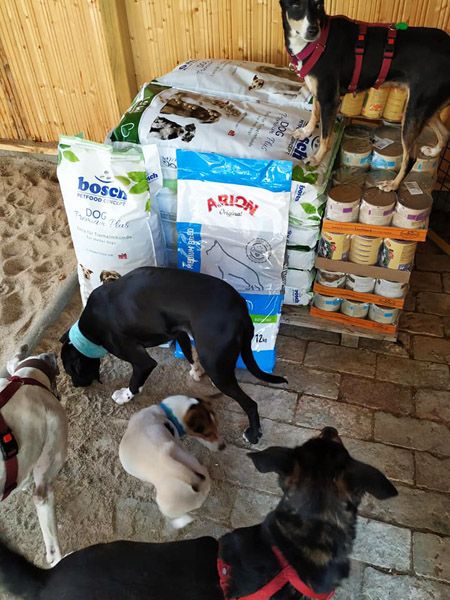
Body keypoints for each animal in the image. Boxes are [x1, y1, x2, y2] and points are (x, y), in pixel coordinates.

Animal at [59, 267, 286, 444]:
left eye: (71, 371)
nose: (75, 386)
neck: (91, 325)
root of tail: (242, 311)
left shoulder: (141, 361)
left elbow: (135, 381)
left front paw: (125, 396)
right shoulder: (179, 332)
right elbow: (188, 354)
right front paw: (196, 371)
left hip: (215, 364)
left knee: (250, 404)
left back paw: (254, 434)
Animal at [280, 0, 450, 190]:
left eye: (318, 5)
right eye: (295, 5)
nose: (313, 30)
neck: (316, 43)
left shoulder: (329, 100)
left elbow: (325, 137)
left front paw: (317, 159)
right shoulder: (319, 94)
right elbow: (314, 115)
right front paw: (306, 132)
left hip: (414, 111)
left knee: (411, 157)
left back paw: (393, 184)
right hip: (427, 109)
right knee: (445, 133)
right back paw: (433, 151)